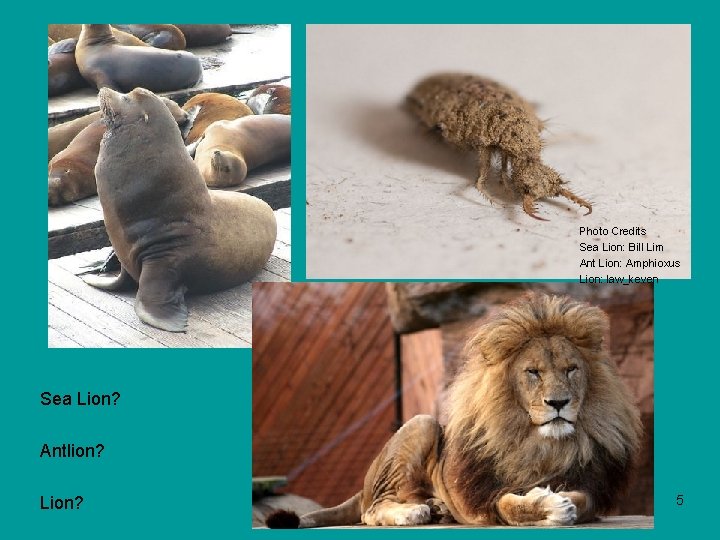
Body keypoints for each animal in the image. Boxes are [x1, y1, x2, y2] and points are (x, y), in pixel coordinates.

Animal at [267, 292, 642, 528]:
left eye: (571, 369)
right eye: (533, 372)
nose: (558, 403)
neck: (539, 443)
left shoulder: (590, 484)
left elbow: (579, 499)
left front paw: (560, 503)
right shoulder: (489, 495)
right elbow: (512, 505)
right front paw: (548, 506)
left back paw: (436, 508)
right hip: (422, 423)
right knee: (371, 510)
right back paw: (413, 513)